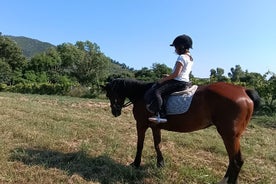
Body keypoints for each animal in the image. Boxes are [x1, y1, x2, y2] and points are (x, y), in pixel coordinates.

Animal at [102, 78, 260, 184]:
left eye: (110, 94)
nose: (115, 112)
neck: (142, 94)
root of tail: (243, 91)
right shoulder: (155, 126)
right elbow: (157, 144)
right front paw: (160, 164)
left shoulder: (141, 125)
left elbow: (140, 145)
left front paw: (135, 164)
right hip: (233, 136)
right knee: (234, 160)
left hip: (229, 136)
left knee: (236, 161)